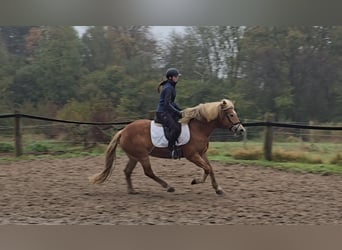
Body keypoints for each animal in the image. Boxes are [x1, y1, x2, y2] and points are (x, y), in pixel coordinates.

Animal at [89, 99, 246, 195]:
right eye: (231, 115)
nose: (241, 130)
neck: (198, 128)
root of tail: (123, 130)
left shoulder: (202, 154)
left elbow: (210, 168)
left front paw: (218, 189)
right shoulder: (192, 155)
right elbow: (207, 169)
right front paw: (196, 181)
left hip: (134, 156)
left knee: (127, 171)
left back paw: (132, 190)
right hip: (142, 156)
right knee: (148, 172)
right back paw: (168, 186)